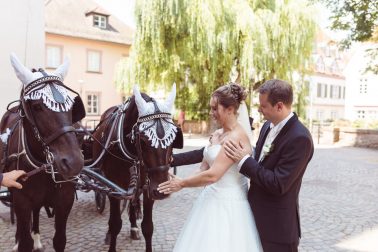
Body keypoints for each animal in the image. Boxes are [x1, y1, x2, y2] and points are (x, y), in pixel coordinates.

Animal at [0, 53, 84, 252]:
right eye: (37, 106)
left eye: (72, 107)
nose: (74, 163)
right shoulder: (22, 201)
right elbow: (25, 242)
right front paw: (20, 241)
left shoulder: (65, 202)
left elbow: (59, 240)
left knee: (37, 211)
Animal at [90, 85, 182, 252]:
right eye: (144, 141)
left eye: (173, 140)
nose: (161, 192)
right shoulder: (114, 187)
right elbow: (115, 223)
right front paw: (111, 235)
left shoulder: (147, 187)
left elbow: (148, 226)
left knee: (132, 201)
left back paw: (133, 227)